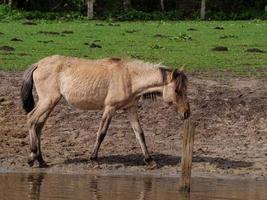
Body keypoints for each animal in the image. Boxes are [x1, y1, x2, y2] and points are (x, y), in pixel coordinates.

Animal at [22, 54, 192, 167]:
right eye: (177, 90)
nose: (186, 113)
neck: (129, 77)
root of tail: (38, 63)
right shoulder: (110, 108)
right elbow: (101, 133)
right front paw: (93, 159)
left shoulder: (130, 108)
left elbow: (140, 134)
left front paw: (150, 160)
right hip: (48, 100)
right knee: (31, 119)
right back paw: (31, 156)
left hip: (50, 102)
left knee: (39, 125)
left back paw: (41, 160)